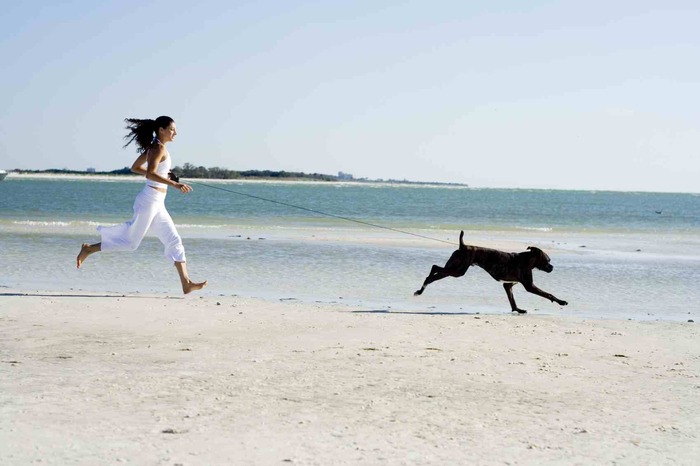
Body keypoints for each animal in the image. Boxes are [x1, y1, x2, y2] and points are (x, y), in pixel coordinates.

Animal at [416, 230, 568, 314]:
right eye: (547, 260)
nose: (552, 267)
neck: (527, 259)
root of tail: (463, 246)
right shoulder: (530, 286)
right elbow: (548, 294)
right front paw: (561, 302)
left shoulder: (508, 285)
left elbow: (512, 299)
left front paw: (517, 310)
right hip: (458, 271)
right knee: (435, 267)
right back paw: (422, 288)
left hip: (454, 268)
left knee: (434, 272)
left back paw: (421, 289)